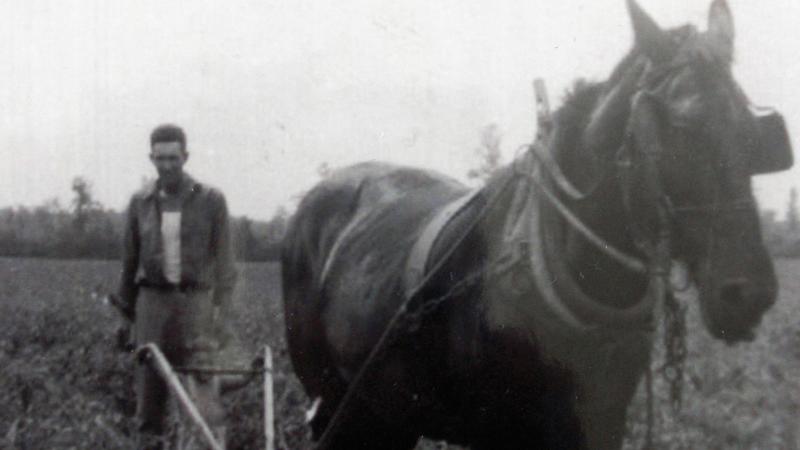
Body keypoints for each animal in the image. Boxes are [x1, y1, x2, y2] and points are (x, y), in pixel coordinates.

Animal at [282, 1, 792, 448]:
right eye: (678, 130)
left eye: (754, 135)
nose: (749, 293)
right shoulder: (498, 429)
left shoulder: (602, 419)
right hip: (331, 401)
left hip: (384, 411)